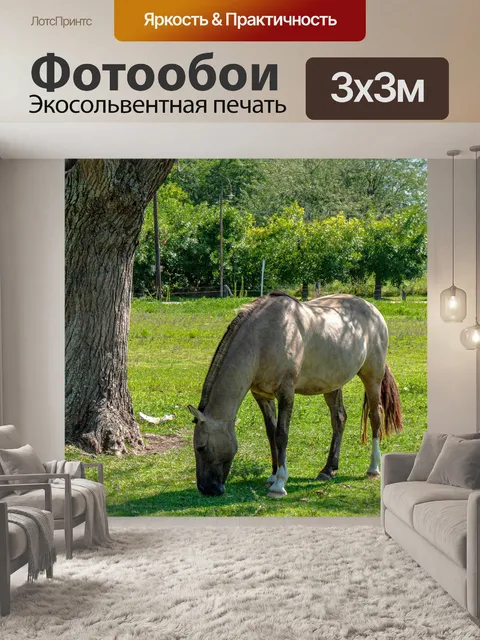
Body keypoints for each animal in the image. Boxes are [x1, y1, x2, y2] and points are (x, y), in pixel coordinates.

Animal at [188, 292, 403, 498]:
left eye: (201, 447)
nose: (206, 489)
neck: (262, 338)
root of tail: (372, 309)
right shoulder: (262, 395)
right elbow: (271, 433)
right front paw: (273, 475)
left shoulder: (286, 392)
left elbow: (282, 434)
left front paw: (279, 485)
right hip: (332, 385)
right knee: (339, 419)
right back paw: (328, 469)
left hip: (372, 378)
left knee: (375, 417)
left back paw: (373, 468)